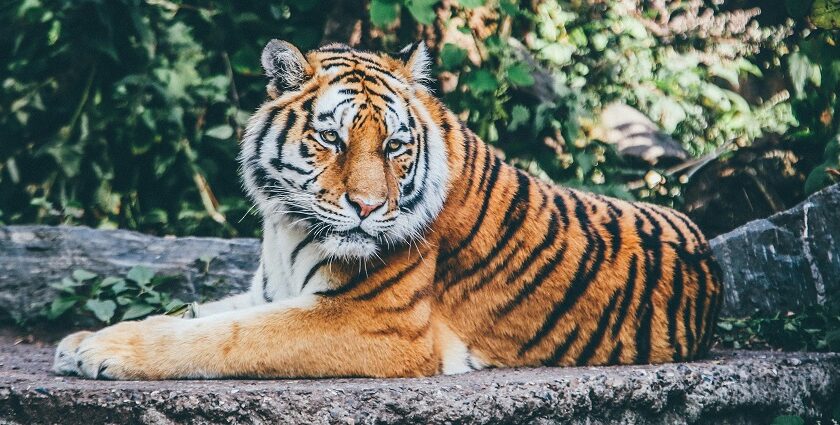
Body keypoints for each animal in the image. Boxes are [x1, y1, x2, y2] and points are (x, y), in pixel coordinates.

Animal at [50, 39, 720, 378]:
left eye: (395, 146)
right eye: (331, 138)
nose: (369, 208)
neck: (285, 226)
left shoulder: (373, 321)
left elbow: (224, 338)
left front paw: (102, 352)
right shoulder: (270, 291)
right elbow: (195, 314)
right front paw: (82, 339)